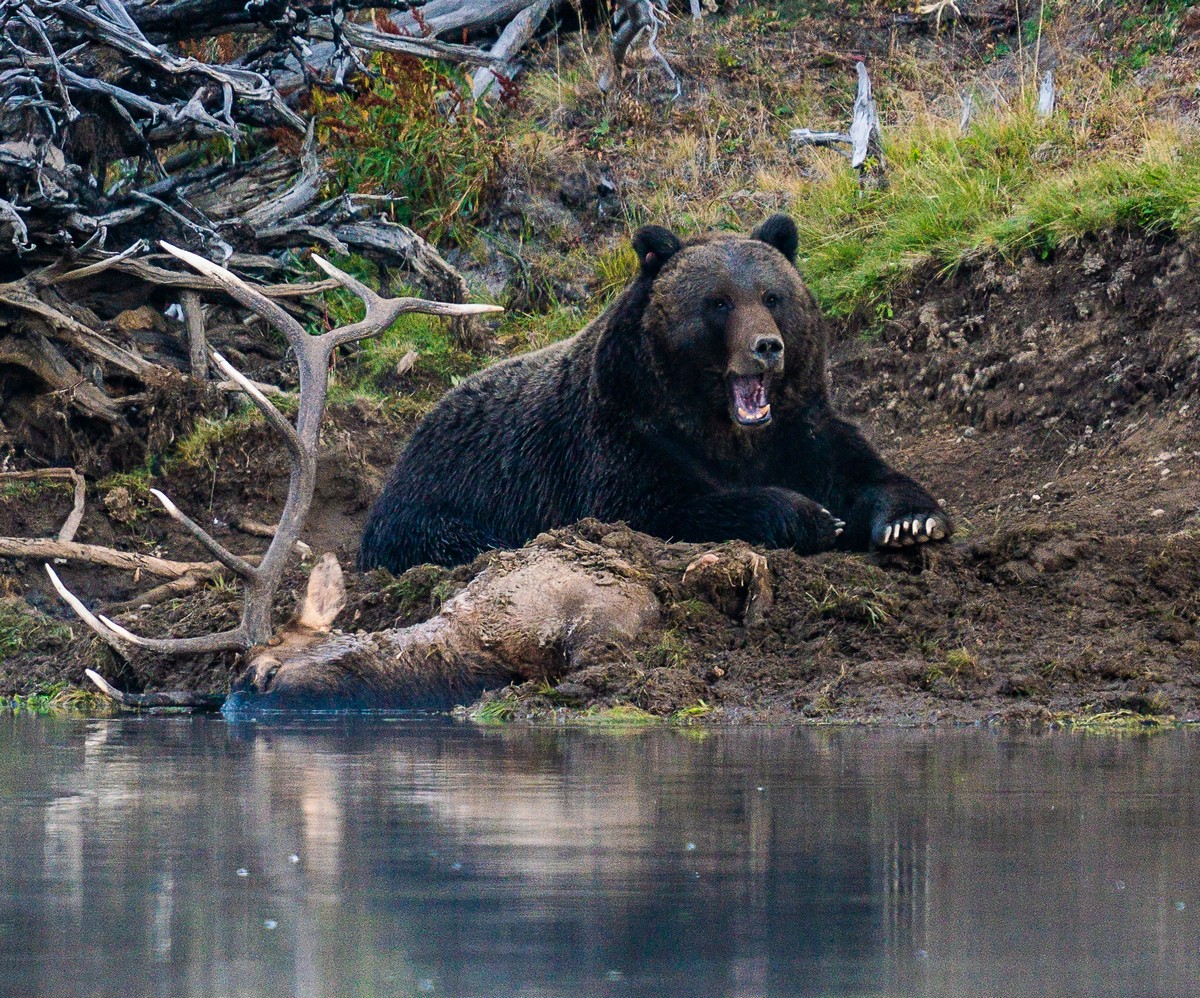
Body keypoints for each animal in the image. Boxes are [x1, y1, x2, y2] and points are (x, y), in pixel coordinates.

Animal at [355, 215, 945, 575]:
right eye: (719, 302)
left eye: (772, 296)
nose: (766, 347)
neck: (723, 432)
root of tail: (414, 433)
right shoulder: (624, 438)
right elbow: (661, 510)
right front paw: (813, 516)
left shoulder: (800, 428)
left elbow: (863, 471)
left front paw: (909, 522)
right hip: (439, 496)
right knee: (454, 539)